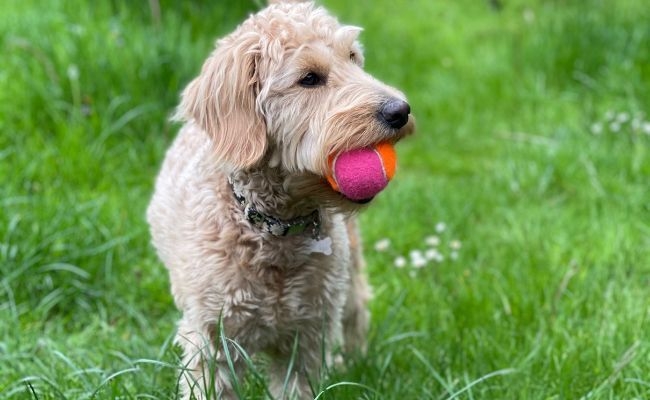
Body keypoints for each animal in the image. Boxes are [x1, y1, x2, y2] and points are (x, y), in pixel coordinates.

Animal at [146, 1, 410, 398]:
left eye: (353, 57)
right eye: (310, 78)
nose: (400, 111)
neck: (275, 228)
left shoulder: (306, 338)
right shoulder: (212, 341)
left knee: (357, 308)